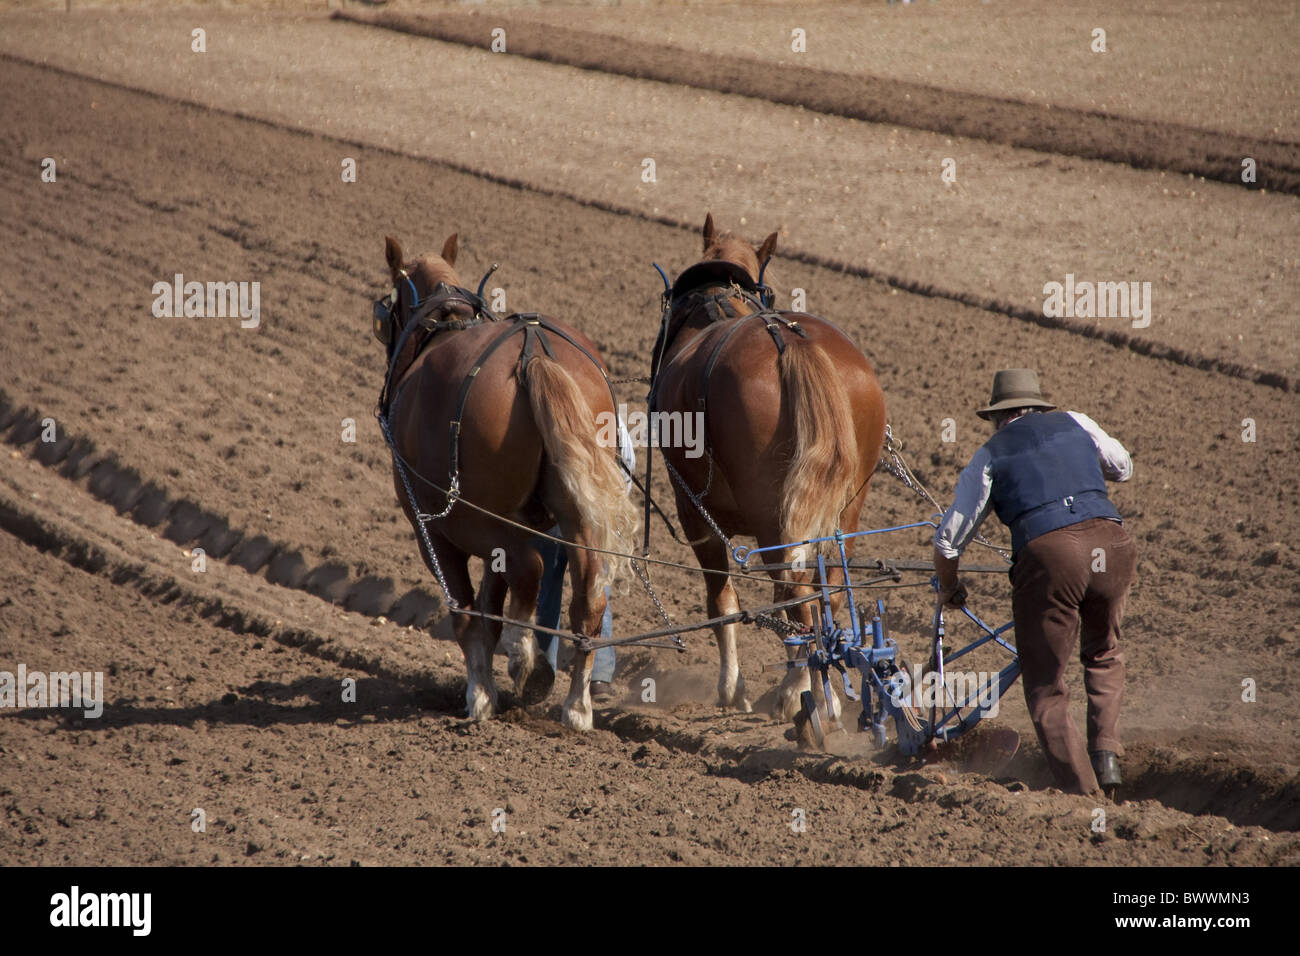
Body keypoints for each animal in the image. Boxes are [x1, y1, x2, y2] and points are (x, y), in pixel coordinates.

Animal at [375, 233, 638, 731]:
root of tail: (533, 352)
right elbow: (488, 612)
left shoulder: (432, 530)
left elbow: (466, 612)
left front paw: (480, 695)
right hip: (574, 517)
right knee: (588, 596)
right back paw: (577, 706)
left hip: (479, 521)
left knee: (529, 568)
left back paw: (524, 658)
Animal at [649, 214, 888, 733]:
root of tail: (791, 340)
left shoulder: (693, 511)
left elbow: (721, 602)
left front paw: (731, 689)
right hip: (845, 508)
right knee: (825, 594)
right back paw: (824, 693)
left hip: (770, 515)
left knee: (793, 595)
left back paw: (797, 694)